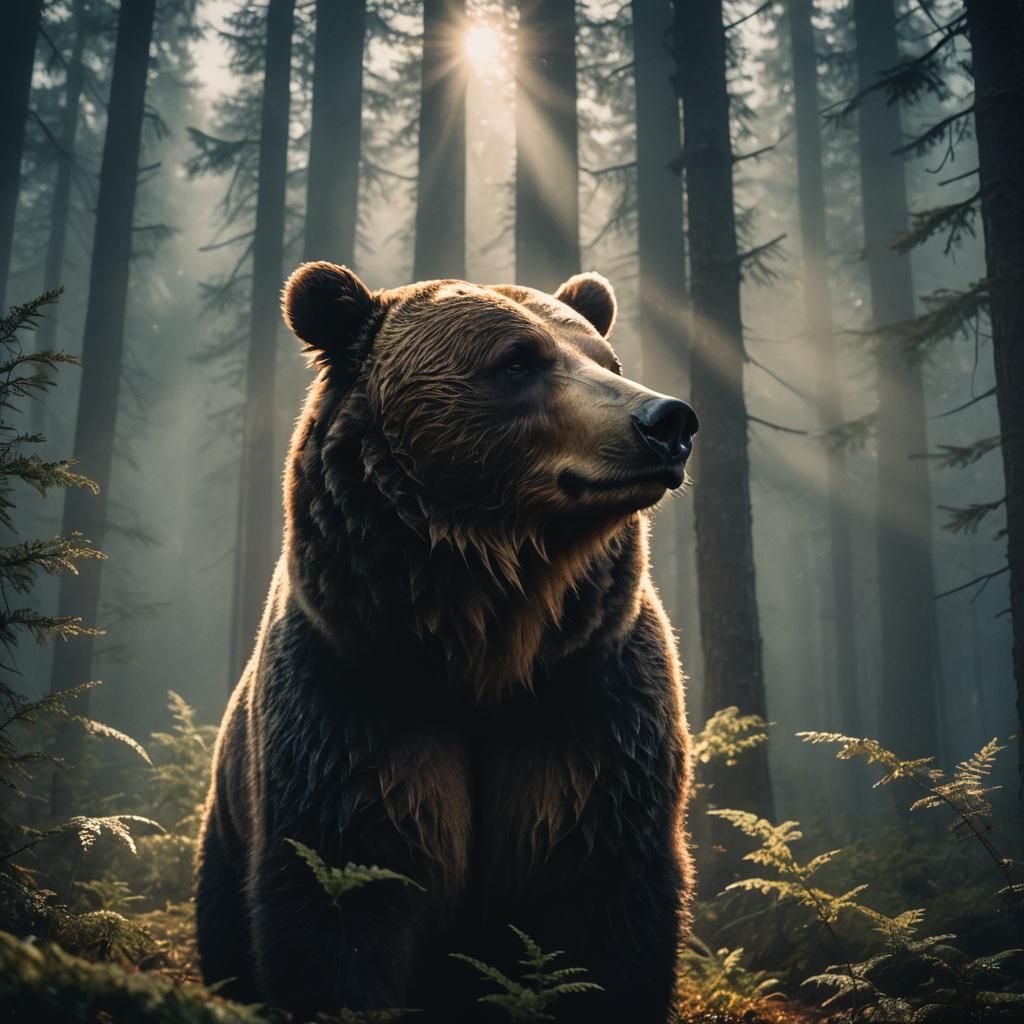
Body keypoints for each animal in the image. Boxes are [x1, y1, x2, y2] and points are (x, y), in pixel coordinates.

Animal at [195, 263, 698, 1023]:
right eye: (517, 360)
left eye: (607, 361)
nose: (667, 421)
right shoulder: (351, 707)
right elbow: (332, 919)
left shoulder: (590, 709)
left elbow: (611, 919)